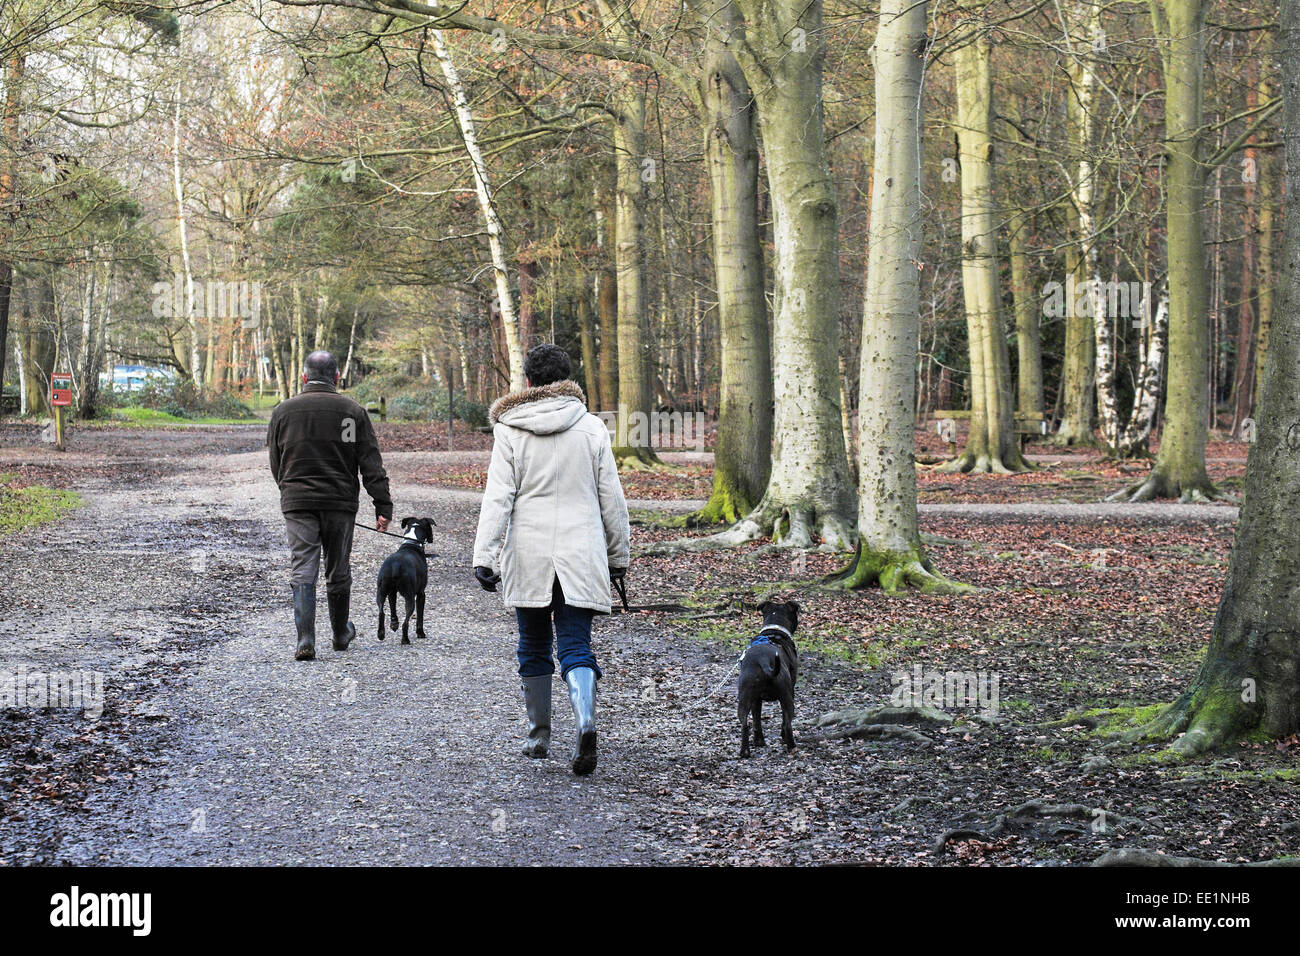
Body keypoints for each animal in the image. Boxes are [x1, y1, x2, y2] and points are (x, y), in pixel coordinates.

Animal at [738, 600, 795, 759]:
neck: (773, 631)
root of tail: (764, 660)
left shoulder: (756, 700)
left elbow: (757, 719)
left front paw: (759, 741)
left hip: (744, 698)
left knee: (745, 724)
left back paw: (745, 751)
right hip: (787, 697)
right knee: (787, 723)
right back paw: (792, 746)